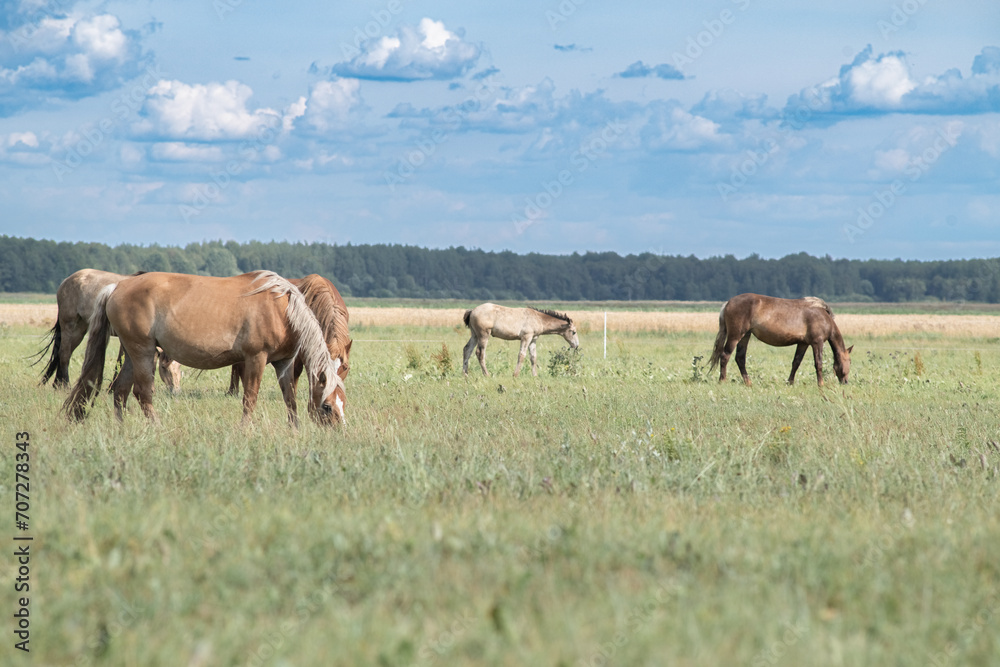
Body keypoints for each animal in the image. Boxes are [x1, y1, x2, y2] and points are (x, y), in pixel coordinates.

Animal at [35, 268, 182, 392]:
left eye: (179, 368)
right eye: (164, 367)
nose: (176, 390)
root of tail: (66, 281)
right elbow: (122, 361)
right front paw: (113, 388)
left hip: (80, 329)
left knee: (64, 353)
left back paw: (57, 385)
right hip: (69, 325)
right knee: (64, 354)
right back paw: (64, 385)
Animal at [63, 268, 344, 426]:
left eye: (343, 402)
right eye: (328, 406)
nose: (337, 430)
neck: (281, 308)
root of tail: (117, 286)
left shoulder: (283, 363)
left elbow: (290, 399)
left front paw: (294, 429)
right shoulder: (256, 358)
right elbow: (249, 398)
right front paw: (245, 430)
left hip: (134, 354)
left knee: (120, 391)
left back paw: (121, 429)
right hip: (142, 352)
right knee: (142, 393)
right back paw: (157, 428)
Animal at [708, 294, 856, 388]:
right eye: (849, 361)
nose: (846, 382)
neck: (824, 317)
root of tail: (728, 302)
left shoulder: (803, 343)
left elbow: (796, 362)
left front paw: (790, 382)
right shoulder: (817, 343)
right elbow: (818, 363)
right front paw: (821, 384)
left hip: (745, 336)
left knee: (740, 358)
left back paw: (748, 383)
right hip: (735, 336)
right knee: (725, 356)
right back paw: (722, 380)